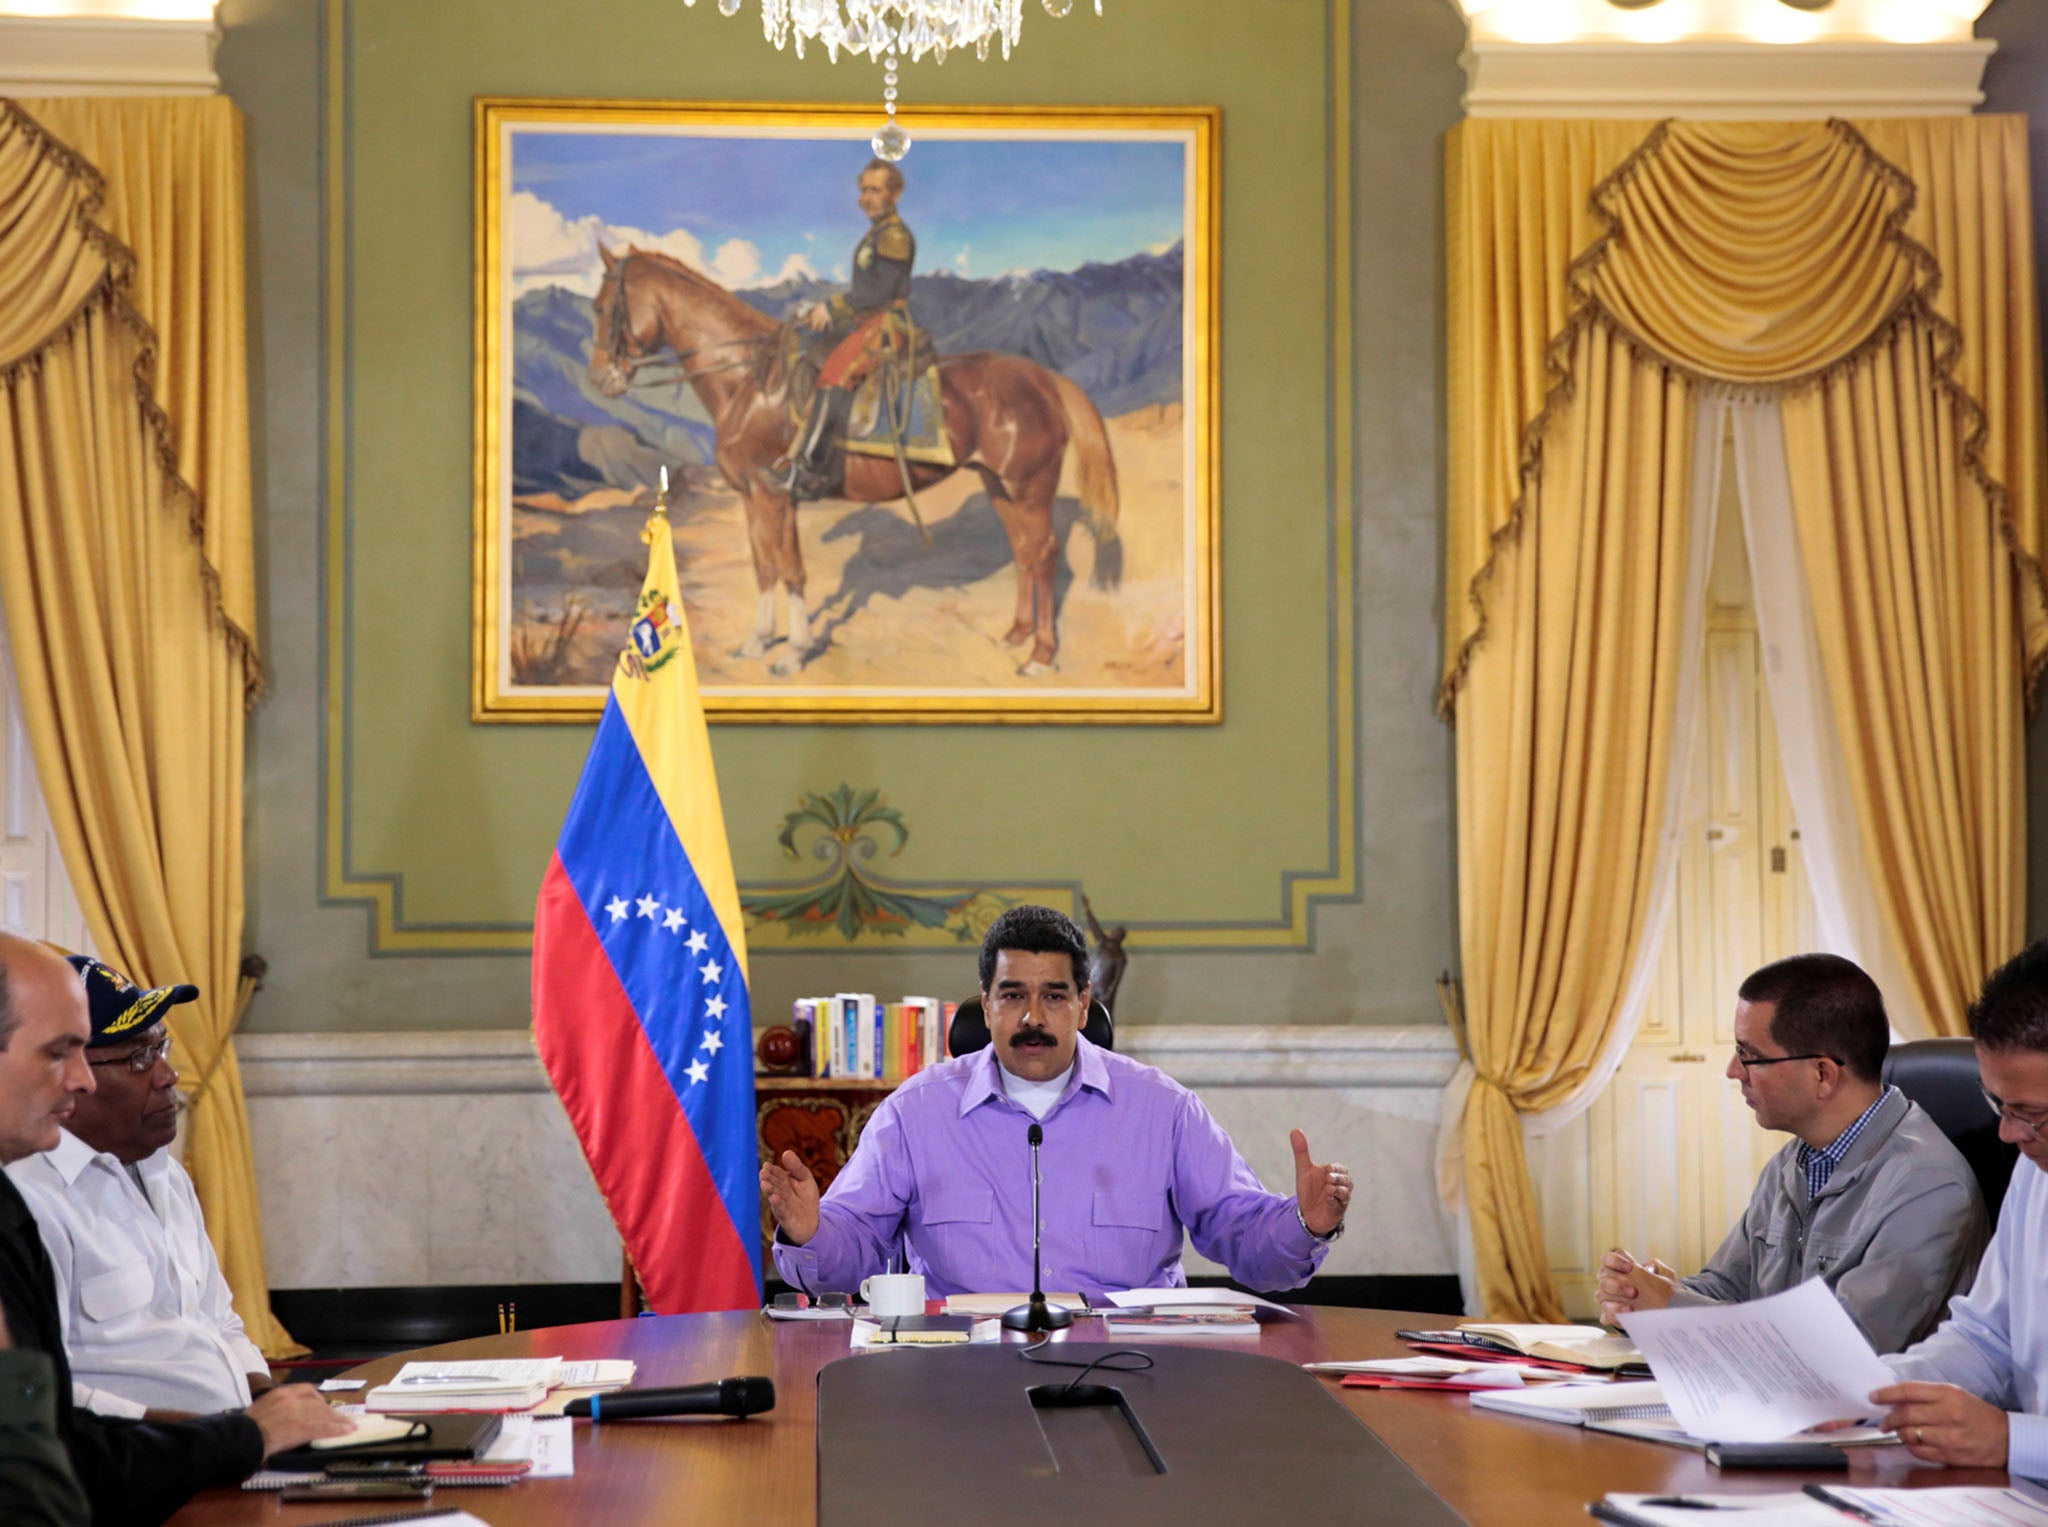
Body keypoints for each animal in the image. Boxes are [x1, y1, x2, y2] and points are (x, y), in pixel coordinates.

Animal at [585, 246, 1130, 675]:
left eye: (605, 306)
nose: (600, 380)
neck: (751, 382)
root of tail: (1044, 378)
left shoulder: (776, 494)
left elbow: (791, 570)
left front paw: (794, 652)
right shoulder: (751, 496)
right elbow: (764, 567)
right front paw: (759, 641)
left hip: (1029, 486)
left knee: (1044, 554)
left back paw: (1041, 654)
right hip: (998, 485)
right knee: (1024, 552)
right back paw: (1017, 634)